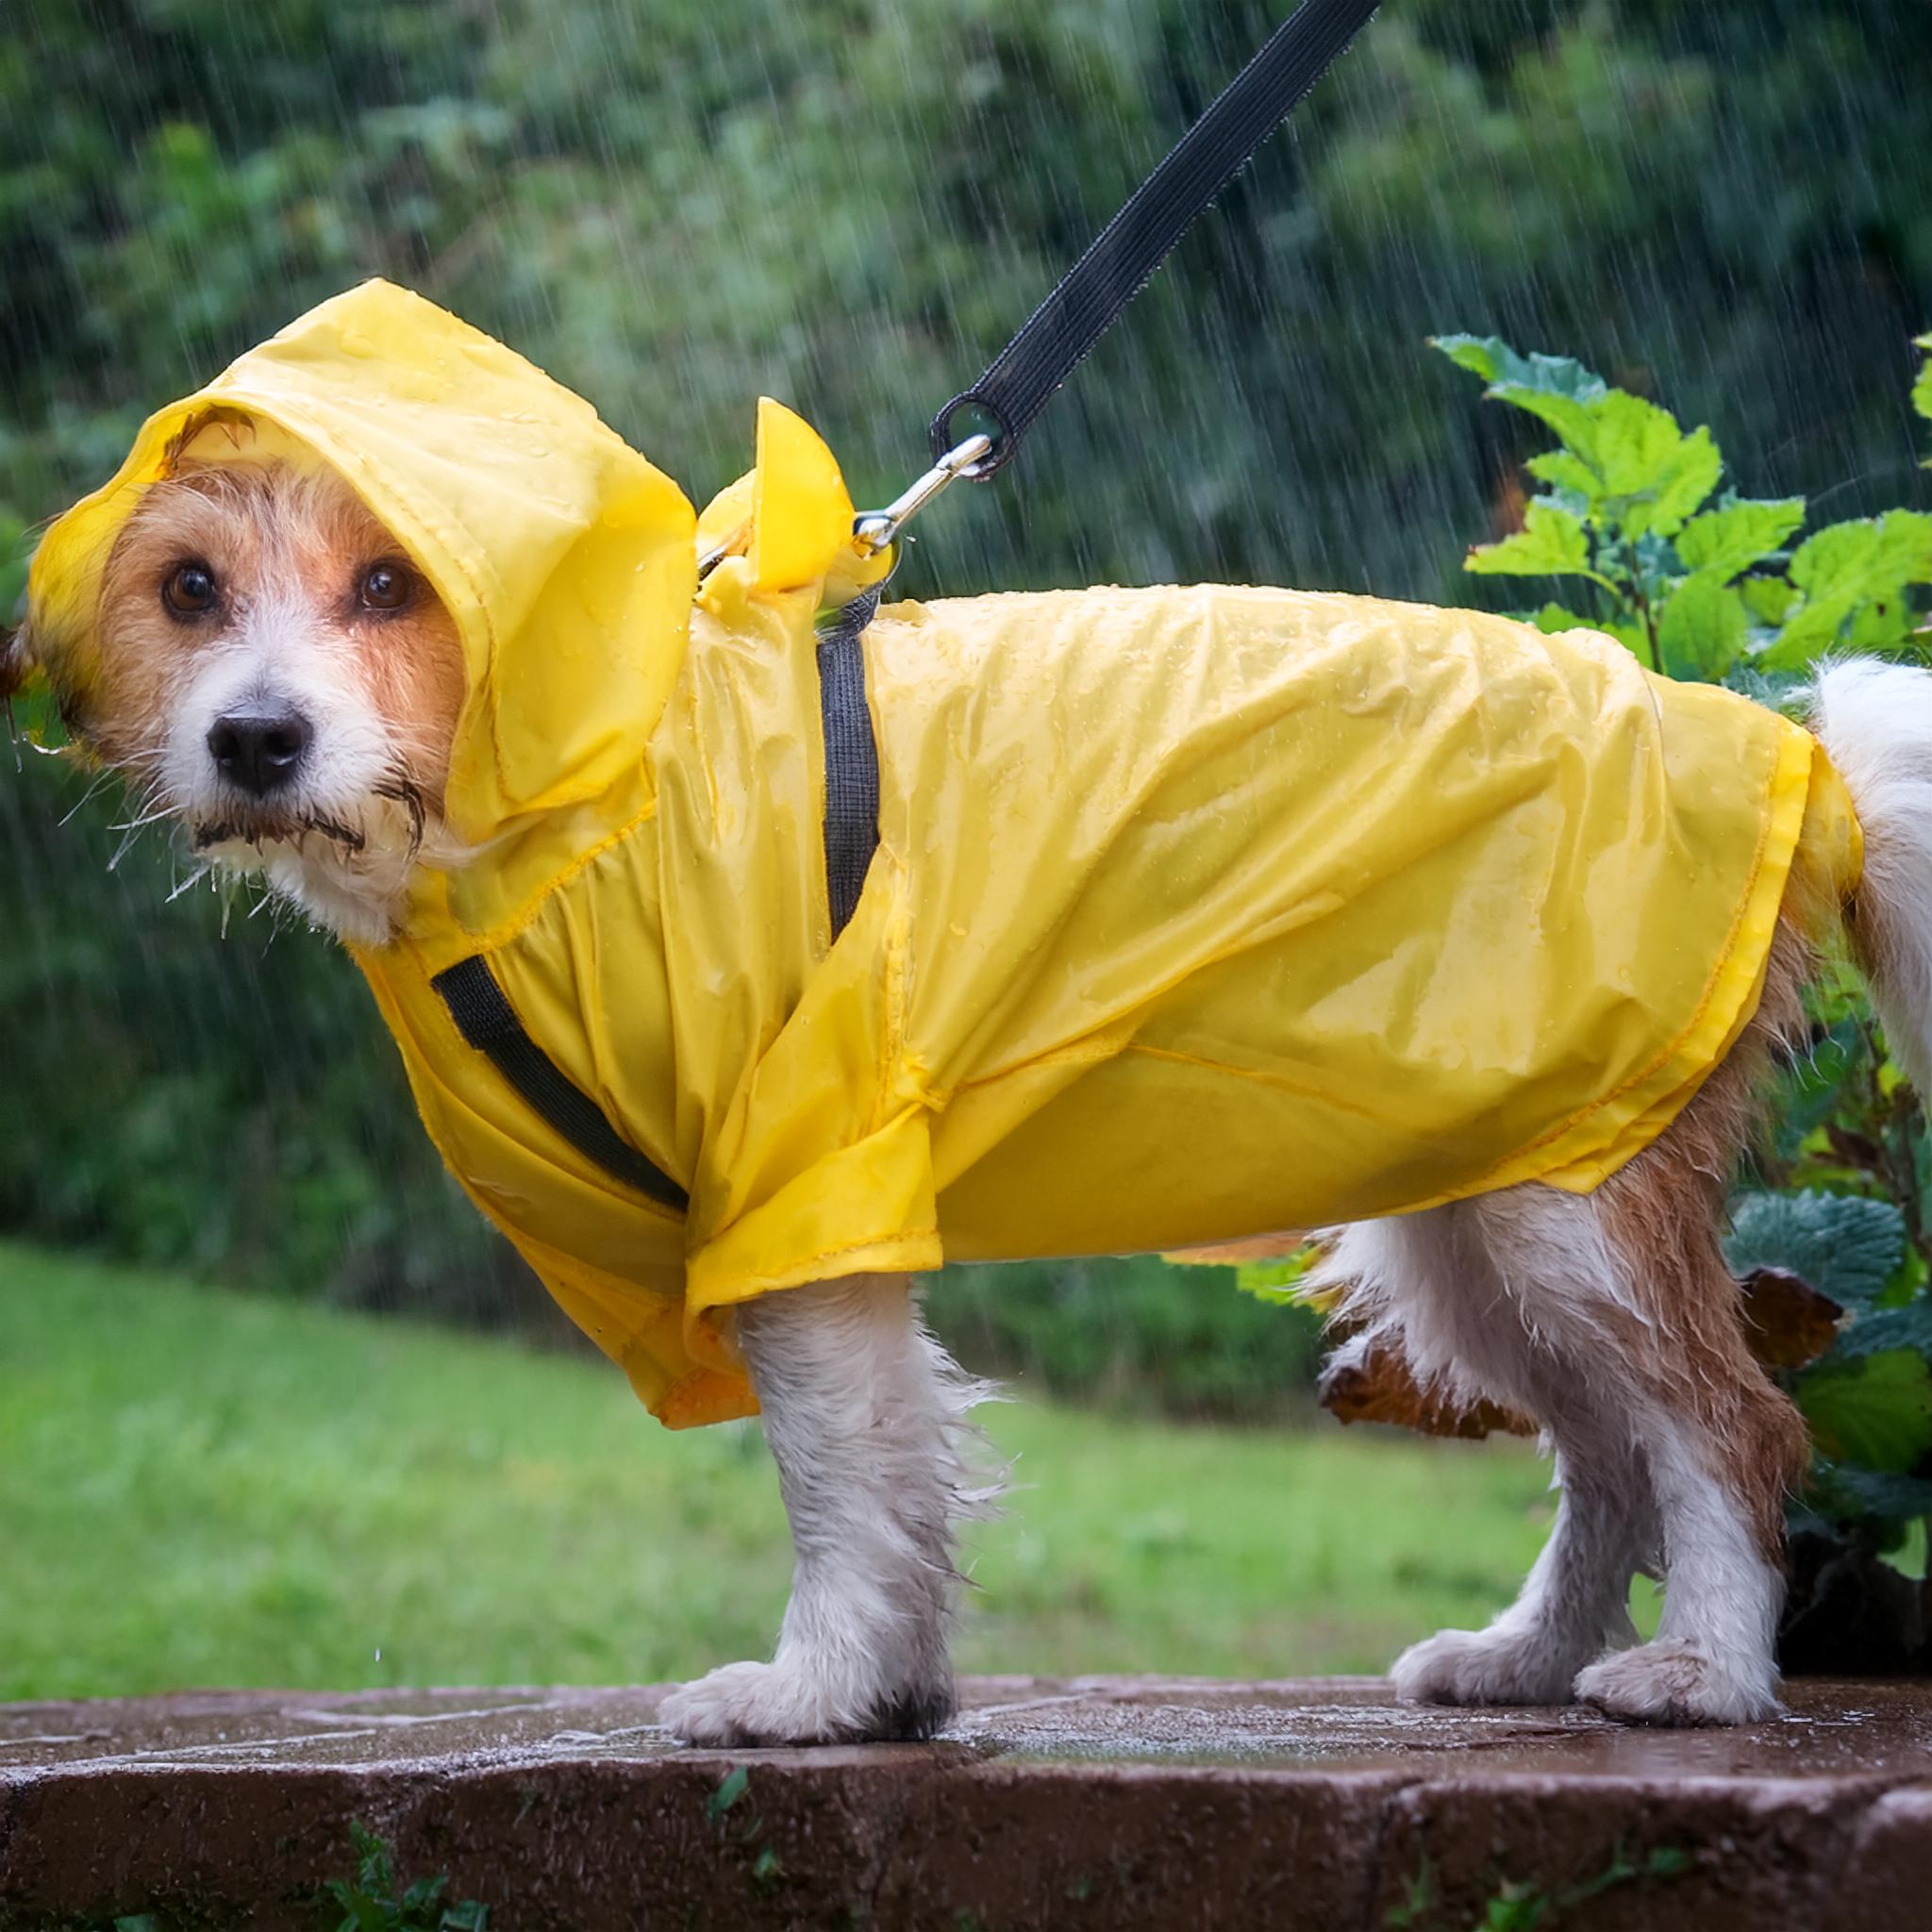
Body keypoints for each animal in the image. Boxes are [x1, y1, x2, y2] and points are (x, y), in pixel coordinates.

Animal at [15, 279, 1932, 1746]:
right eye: (188, 590)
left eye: (390, 585)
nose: (256, 738)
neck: (592, 808)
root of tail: (1792, 754)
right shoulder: (816, 1207)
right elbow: (899, 1472)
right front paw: (891, 1698)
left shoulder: (800, 1183)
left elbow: (841, 1481)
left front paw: (810, 1695)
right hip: (1466, 1201)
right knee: (1604, 1448)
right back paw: (1529, 1657)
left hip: (1568, 1203)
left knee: (1729, 1426)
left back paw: (1702, 1672)